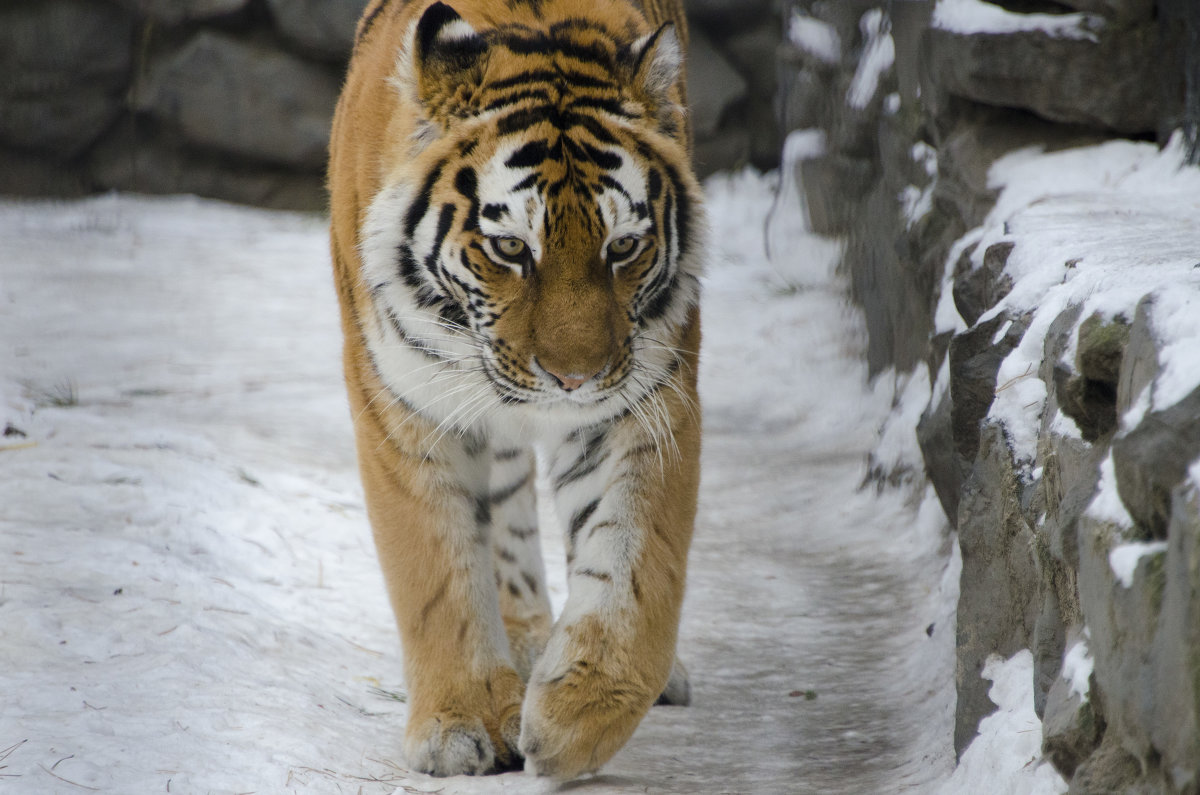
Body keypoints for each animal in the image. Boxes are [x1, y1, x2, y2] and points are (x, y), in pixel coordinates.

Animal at [326, 0, 700, 778]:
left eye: (623, 247)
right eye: (509, 250)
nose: (574, 377)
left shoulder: (643, 394)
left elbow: (634, 557)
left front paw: (578, 717)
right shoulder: (404, 404)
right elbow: (438, 568)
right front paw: (461, 723)